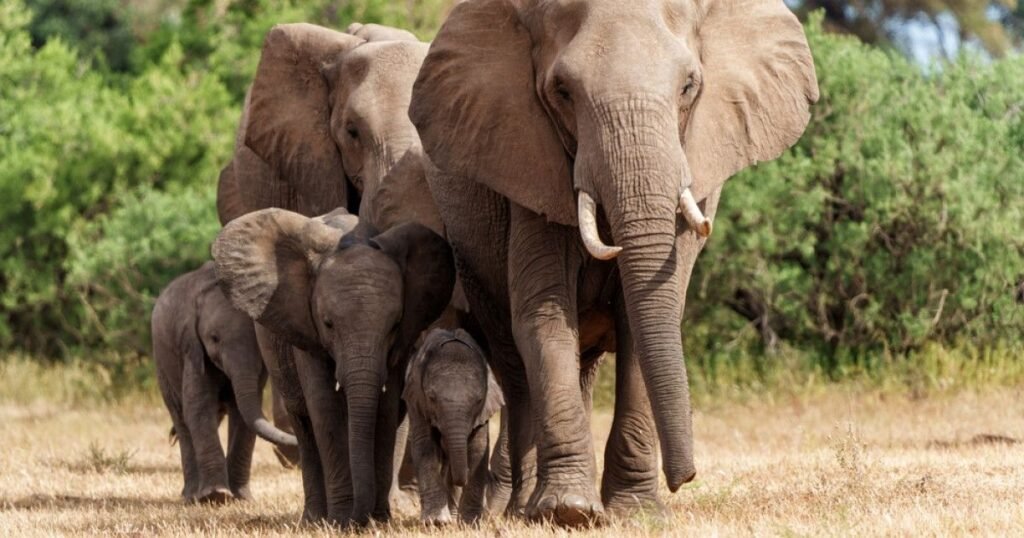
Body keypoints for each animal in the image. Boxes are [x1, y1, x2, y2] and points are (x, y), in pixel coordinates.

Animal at [151, 262, 298, 504]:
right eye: (214, 338)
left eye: (257, 340)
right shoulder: (191, 347)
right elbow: (198, 408)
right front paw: (216, 496)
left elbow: (243, 414)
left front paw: (241, 498)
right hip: (162, 362)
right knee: (181, 417)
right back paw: (190, 496)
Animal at [212, 208, 455, 525]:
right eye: (328, 324)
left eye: (394, 325)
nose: (360, 518)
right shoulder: (306, 329)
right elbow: (325, 408)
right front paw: (341, 521)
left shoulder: (400, 345)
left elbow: (385, 410)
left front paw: (377, 521)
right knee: (303, 423)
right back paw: (314, 519)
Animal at [403, 328, 504, 524]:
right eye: (432, 398)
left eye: (479, 400)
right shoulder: (417, 401)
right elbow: (425, 445)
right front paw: (436, 523)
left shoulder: (483, 412)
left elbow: (478, 448)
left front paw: (470, 523)